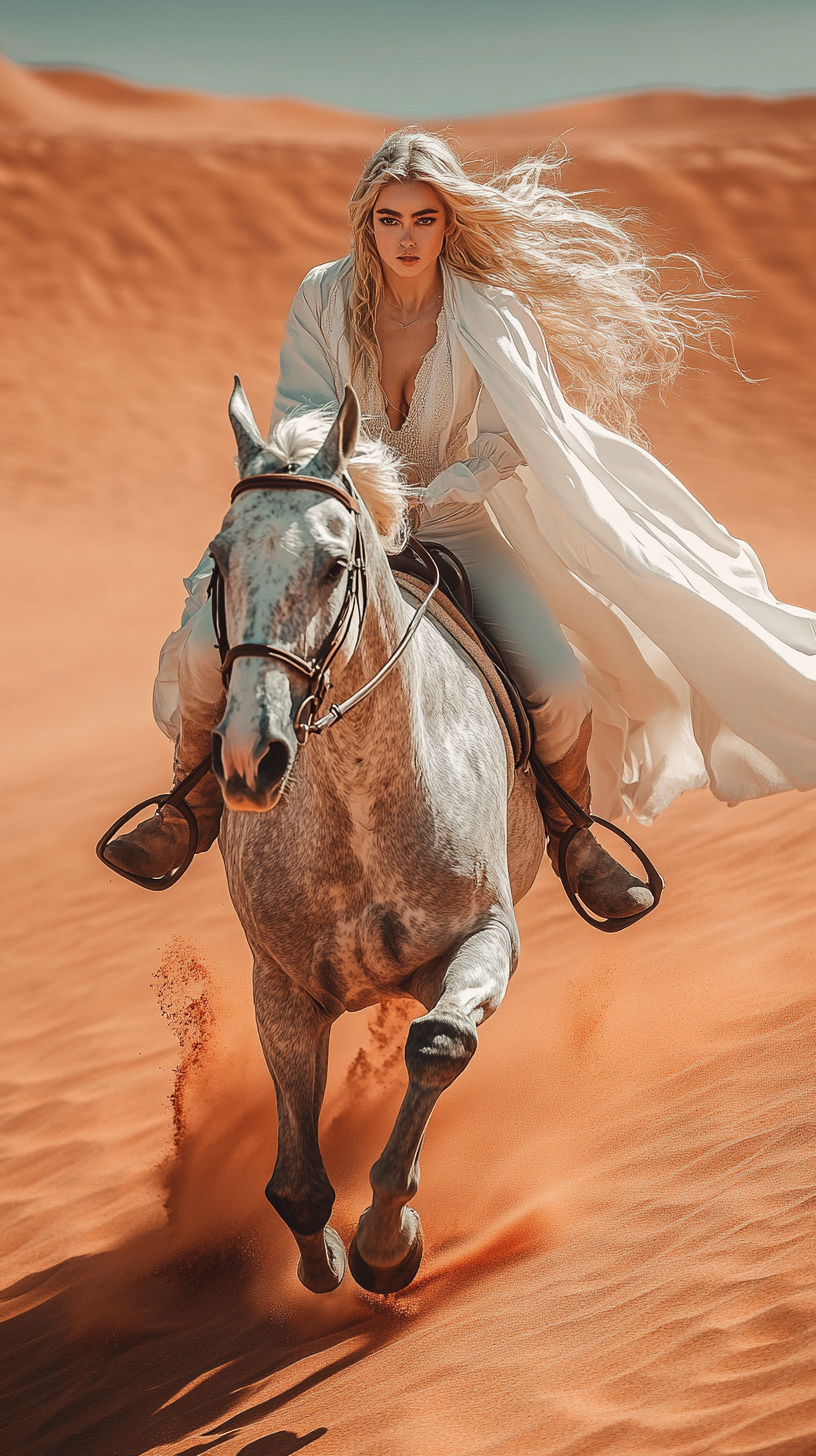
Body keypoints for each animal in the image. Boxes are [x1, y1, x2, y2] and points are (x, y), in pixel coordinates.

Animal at [211, 387, 542, 1298]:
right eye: (219, 562)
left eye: (333, 565)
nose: (251, 758)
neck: (359, 806)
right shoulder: (282, 986)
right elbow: (294, 1182)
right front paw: (321, 1256)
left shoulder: (486, 936)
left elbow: (439, 1044)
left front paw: (386, 1244)